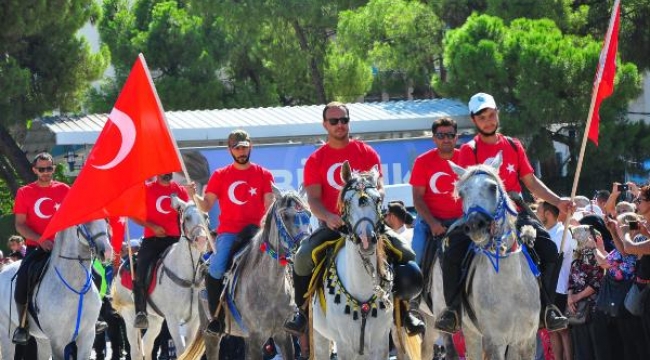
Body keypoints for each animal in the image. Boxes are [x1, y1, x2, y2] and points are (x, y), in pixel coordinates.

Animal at [0, 219, 112, 360]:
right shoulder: (58, 342)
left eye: (106, 220)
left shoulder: (87, 337)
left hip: (43, 339)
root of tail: (4, 269)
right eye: (87, 221)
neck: (76, 287)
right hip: (6, 333)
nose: (107, 252)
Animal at [312, 162, 392, 360]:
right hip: (319, 336)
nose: (365, 240)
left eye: (378, 200)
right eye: (348, 201)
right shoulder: (345, 346)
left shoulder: (381, 343)